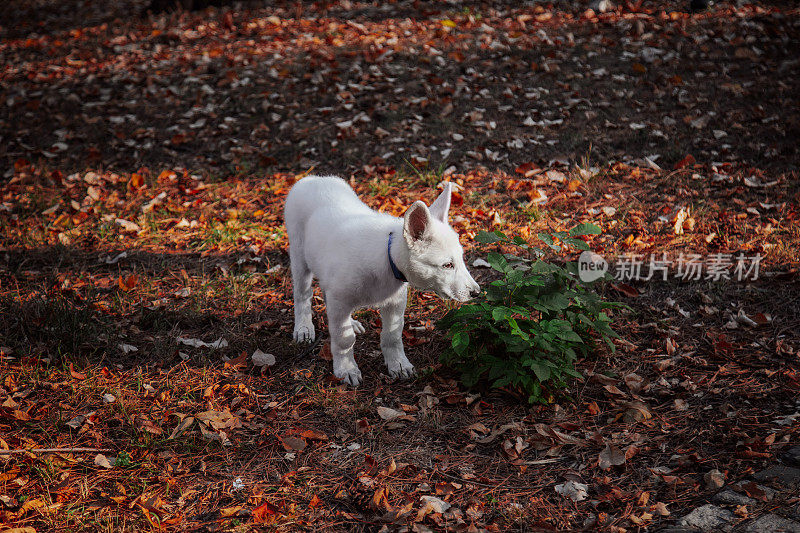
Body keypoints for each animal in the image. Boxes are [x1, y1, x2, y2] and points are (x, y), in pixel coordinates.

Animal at [284, 177, 478, 384]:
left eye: (461, 259)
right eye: (447, 265)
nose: (476, 292)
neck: (387, 258)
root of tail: (312, 178)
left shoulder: (394, 302)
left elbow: (392, 335)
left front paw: (398, 364)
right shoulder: (340, 299)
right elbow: (344, 338)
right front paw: (346, 369)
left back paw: (351, 322)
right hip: (299, 258)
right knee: (303, 295)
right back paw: (304, 328)